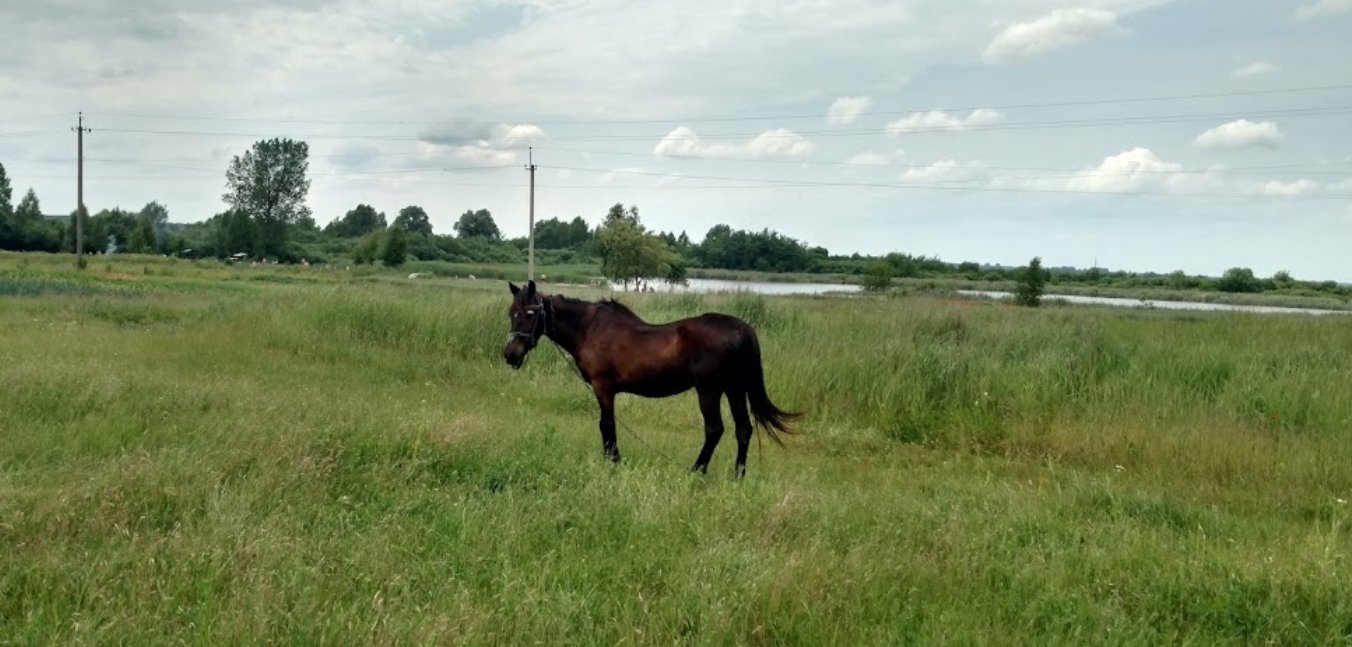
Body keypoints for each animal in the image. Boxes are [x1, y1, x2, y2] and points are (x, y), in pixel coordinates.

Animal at [501, 280, 799, 477]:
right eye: (511, 313)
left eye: (529, 313)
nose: (510, 354)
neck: (589, 328)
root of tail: (742, 328)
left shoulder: (603, 388)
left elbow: (606, 425)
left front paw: (613, 461)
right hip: (734, 388)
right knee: (743, 429)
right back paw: (738, 476)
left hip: (709, 389)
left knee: (715, 429)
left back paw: (696, 471)